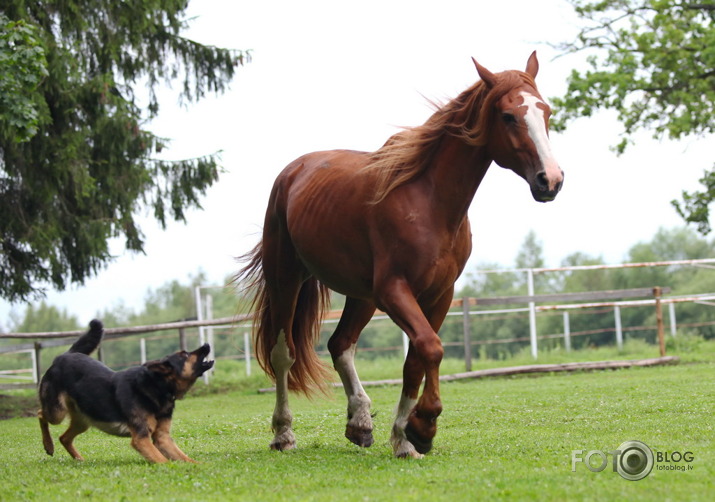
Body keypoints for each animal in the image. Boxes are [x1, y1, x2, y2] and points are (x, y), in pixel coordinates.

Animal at [38, 322, 214, 462]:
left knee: (64, 438)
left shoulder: (162, 438)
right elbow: (164, 461)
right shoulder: (141, 439)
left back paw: (79, 459)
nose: (207, 344)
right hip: (57, 413)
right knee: (41, 414)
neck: (157, 386)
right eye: (186, 354)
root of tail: (63, 356)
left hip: (83, 421)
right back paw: (48, 445)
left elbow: (187, 459)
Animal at [241, 52, 564, 458]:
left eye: (545, 111)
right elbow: (431, 349)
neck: (429, 201)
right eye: (508, 116)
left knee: (340, 345)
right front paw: (422, 426)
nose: (551, 180)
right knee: (284, 354)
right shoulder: (394, 290)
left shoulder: (439, 295)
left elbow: (417, 360)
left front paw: (404, 436)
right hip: (287, 279)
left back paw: (360, 422)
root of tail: (294, 171)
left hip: (361, 296)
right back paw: (284, 433)